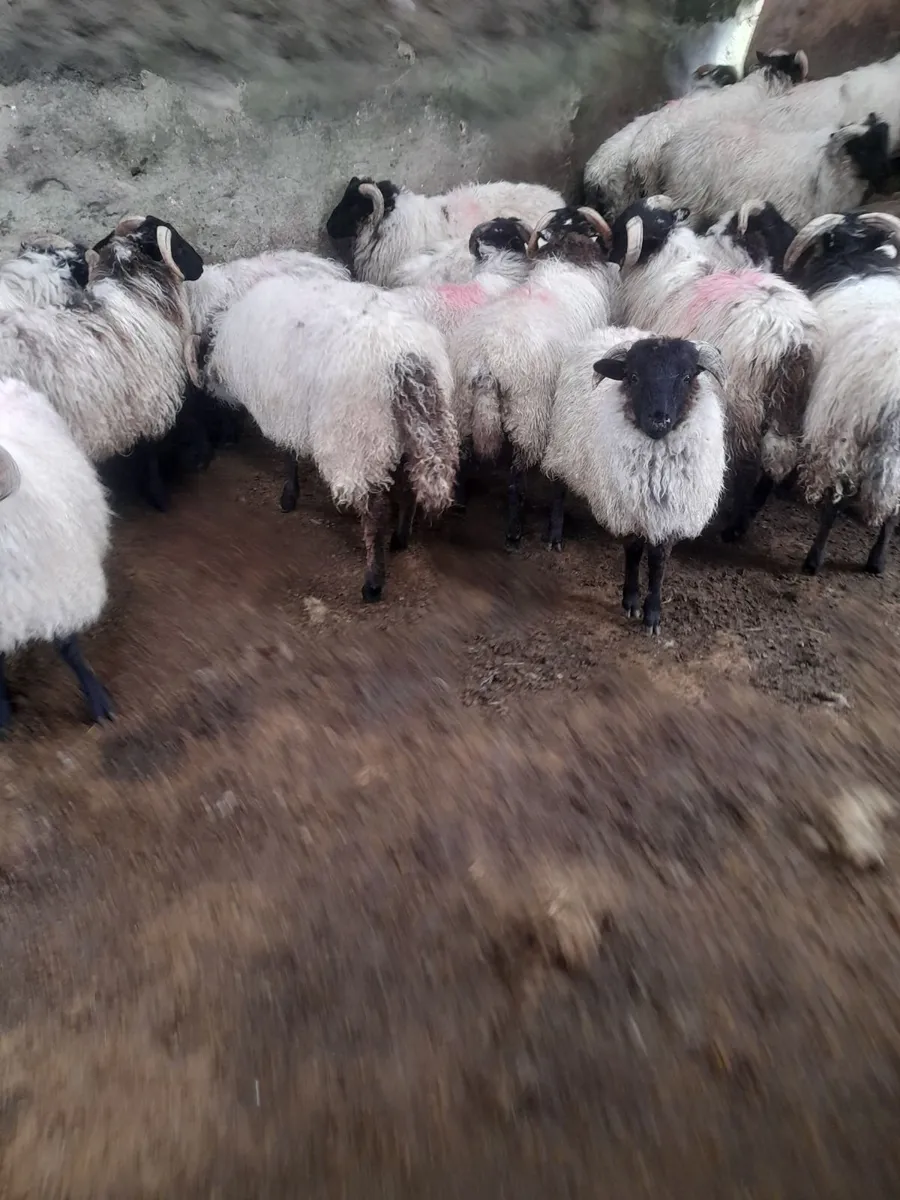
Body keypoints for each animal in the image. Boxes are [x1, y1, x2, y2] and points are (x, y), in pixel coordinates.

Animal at [201, 273, 458, 602]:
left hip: (357, 437)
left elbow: (289, 455)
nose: (205, 385)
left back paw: (373, 582)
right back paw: (401, 539)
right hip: (409, 431)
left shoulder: (287, 408)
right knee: (410, 486)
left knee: (374, 513)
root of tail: (405, 359)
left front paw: (288, 497)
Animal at [448, 207, 619, 544]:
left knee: (463, 450)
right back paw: (515, 530)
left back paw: (460, 502)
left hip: (462, 403)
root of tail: (487, 363)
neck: (567, 259)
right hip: (529, 411)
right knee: (517, 475)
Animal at [543, 329, 727, 633]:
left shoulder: (669, 513)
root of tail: (611, 329)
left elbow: (658, 563)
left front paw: (652, 614)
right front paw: (630, 601)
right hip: (563, 444)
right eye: (633, 377)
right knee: (558, 486)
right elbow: (633, 552)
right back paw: (554, 536)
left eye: (687, 377)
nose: (659, 420)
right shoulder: (627, 507)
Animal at [613, 196, 822, 540]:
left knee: (750, 465)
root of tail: (793, 342)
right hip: (794, 407)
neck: (666, 263)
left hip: (742, 405)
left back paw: (733, 526)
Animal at [781, 210, 900, 576]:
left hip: (843, 429)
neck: (858, 254)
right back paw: (877, 561)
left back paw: (814, 559)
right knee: (892, 509)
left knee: (835, 499)